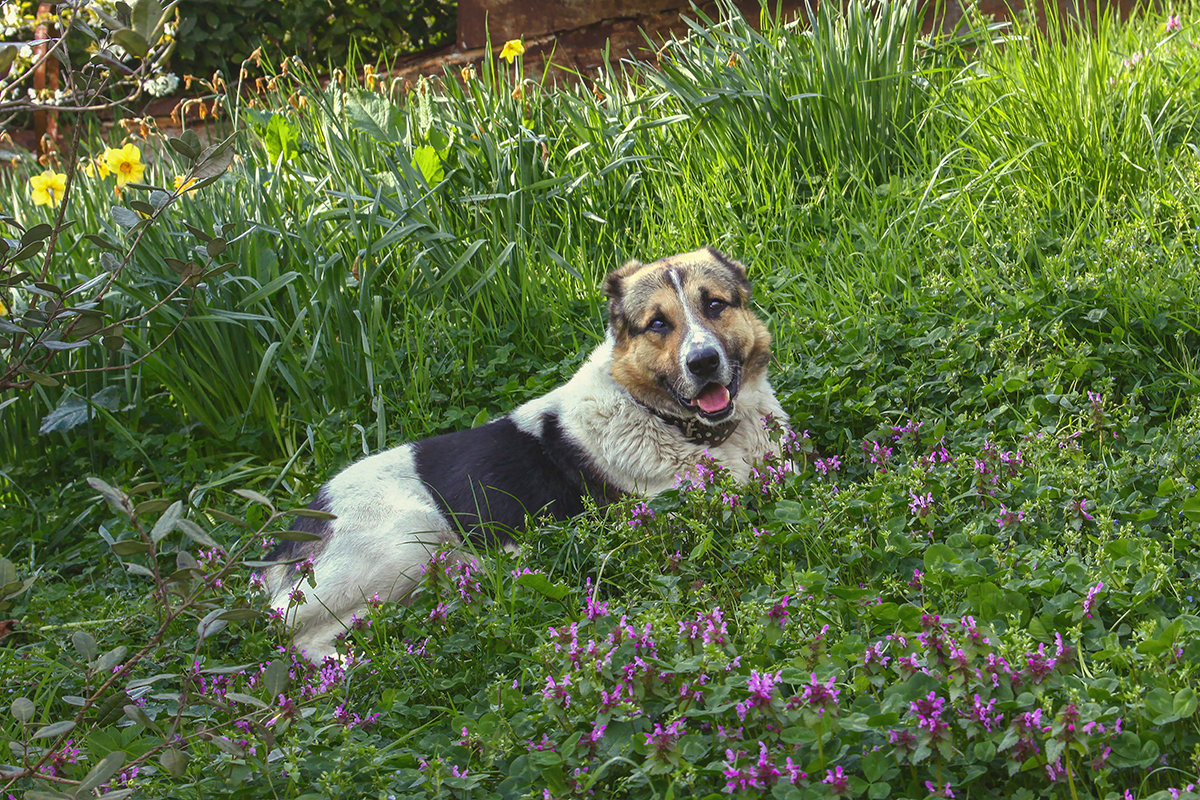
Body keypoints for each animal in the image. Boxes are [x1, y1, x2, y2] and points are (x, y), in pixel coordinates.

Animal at [266, 248, 787, 662]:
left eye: (714, 304)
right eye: (658, 323)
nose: (703, 362)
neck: (669, 421)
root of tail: (293, 529)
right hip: (407, 541)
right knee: (296, 634)